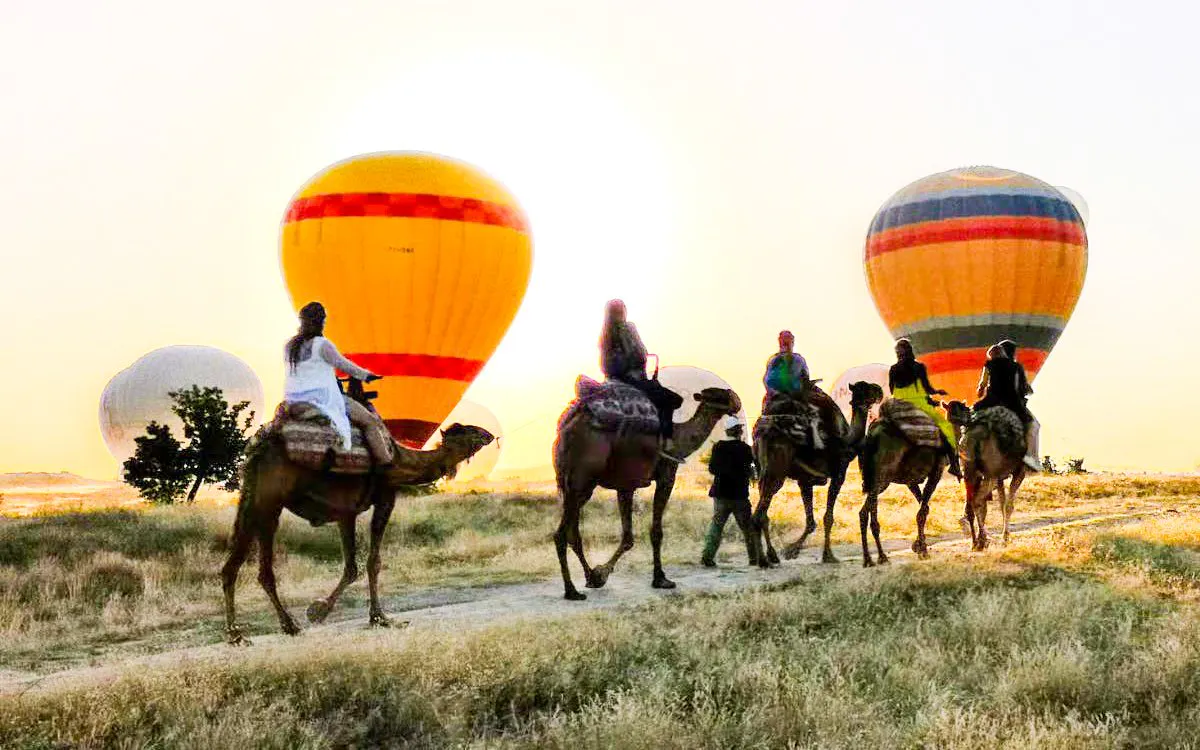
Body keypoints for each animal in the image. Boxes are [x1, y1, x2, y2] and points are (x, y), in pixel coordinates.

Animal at [221, 423, 494, 644]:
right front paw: (378, 618)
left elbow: (352, 567)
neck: (399, 461)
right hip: (270, 501)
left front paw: (320, 610)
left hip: (252, 499)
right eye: (470, 431)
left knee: (233, 565)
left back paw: (237, 634)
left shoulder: (346, 514)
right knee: (262, 569)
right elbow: (372, 562)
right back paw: (284, 626)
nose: (489, 435)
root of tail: (258, 449)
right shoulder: (384, 498)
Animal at [553, 386, 742, 600]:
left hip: (574, 486)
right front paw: (660, 579)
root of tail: (566, 430)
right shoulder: (667, 476)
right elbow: (656, 532)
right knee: (561, 534)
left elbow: (628, 537)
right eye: (719, 395)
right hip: (582, 480)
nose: (737, 402)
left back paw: (588, 577)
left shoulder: (626, 486)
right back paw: (571, 591)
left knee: (573, 533)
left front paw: (599, 575)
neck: (678, 440)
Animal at [753, 381, 884, 566]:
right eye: (866, 389)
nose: (879, 390)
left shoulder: (804, 480)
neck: (845, 441)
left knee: (761, 514)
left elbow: (811, 522)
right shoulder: (838, 474)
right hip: (776, 472)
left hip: (762, 472)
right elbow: (828, 517)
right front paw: (828, 555)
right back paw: (766, 558)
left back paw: (768, 557)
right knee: (760, 514)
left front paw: (792, 550)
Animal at [855, 404, 955, 567]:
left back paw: (871, 558)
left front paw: (918, 545)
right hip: (881, 476)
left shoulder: (911, 480)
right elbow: (922, 512)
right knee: (868, 513)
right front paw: (923, 551)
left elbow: (924, 508)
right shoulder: (936, 471)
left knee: (865, 512)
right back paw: (878, 557)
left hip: (877, 480)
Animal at [946, 402, 1027, 550]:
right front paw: (1005, 538)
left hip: (970, 472)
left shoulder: (998, 477)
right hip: (990, 474)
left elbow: (1001, 503)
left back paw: (975, 541)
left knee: (972, 504)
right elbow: (1008, 505)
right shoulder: (1018, 471)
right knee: (977, 501)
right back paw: (982, 539)